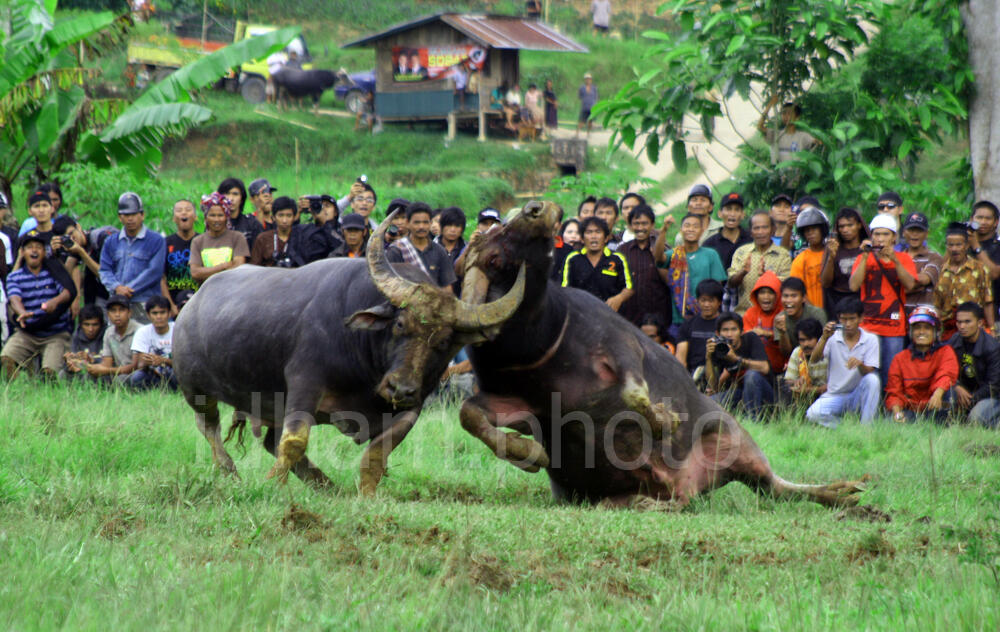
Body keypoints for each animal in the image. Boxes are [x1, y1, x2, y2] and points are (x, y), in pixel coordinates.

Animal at [176, 214, 528, 494]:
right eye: (400, 324)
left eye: (443, 342)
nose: (400, 387)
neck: (365, 368)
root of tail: (191, 307)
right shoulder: (304, 384)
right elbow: (294, 441)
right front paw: (272, 485)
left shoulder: (410, 408)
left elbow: (377, 455)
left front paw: (366, 494)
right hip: (196, 389)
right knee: (209, 427)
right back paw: (229, 472)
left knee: (268, 439)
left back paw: (325, 485)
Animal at [458, 202, 864, 508]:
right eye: (492, 257)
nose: (536, 209)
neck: (546, 340)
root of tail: (692, 483)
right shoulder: (522, 401)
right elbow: (470, 414)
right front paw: (529, 453)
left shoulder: (622, 345)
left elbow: (634, 393)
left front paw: (664, 421)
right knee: (690, 501)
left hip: (733, 435)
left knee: (775, 486)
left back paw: (846, 493)